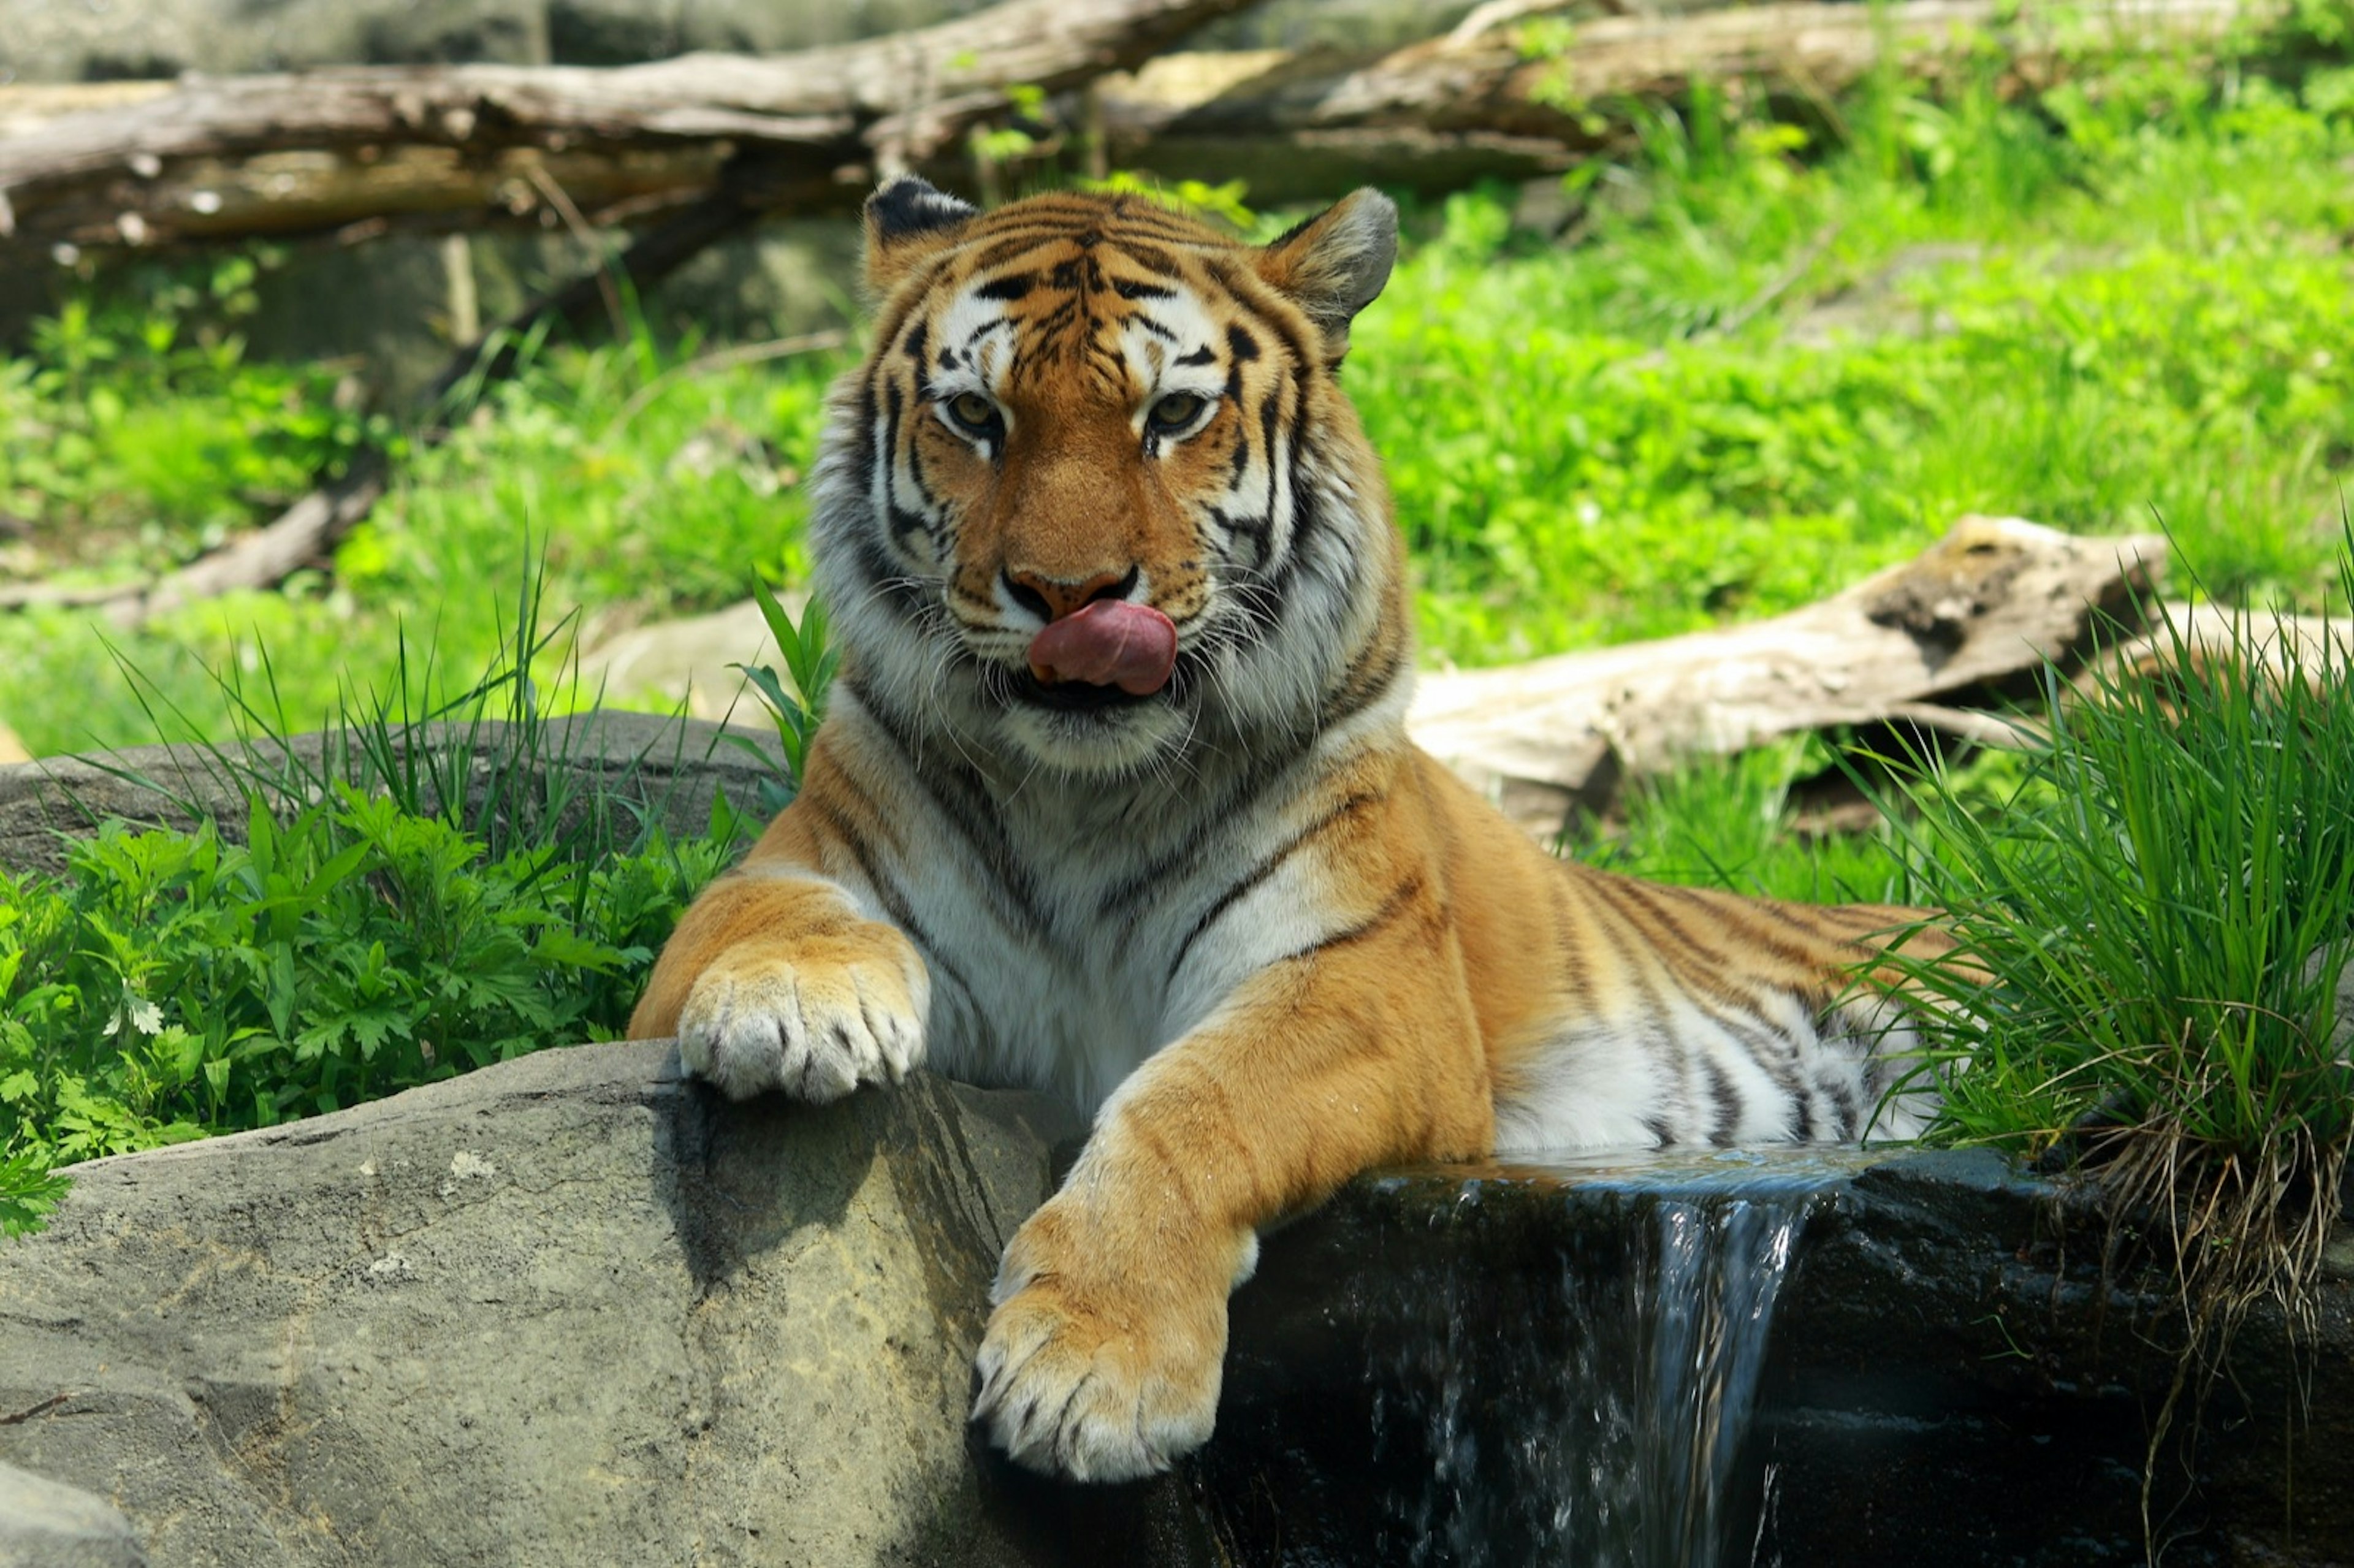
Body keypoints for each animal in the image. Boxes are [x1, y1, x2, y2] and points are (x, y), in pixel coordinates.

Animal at [626, 180, 1949, 1479]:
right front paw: (791, 1009)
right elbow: (759, 909)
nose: (1069, 597)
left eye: (1172, 413)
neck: (1084, 795)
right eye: (974, 415)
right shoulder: (797, 861)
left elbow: (1193, 1100)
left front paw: (1092, 1370)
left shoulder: (1369, 982)